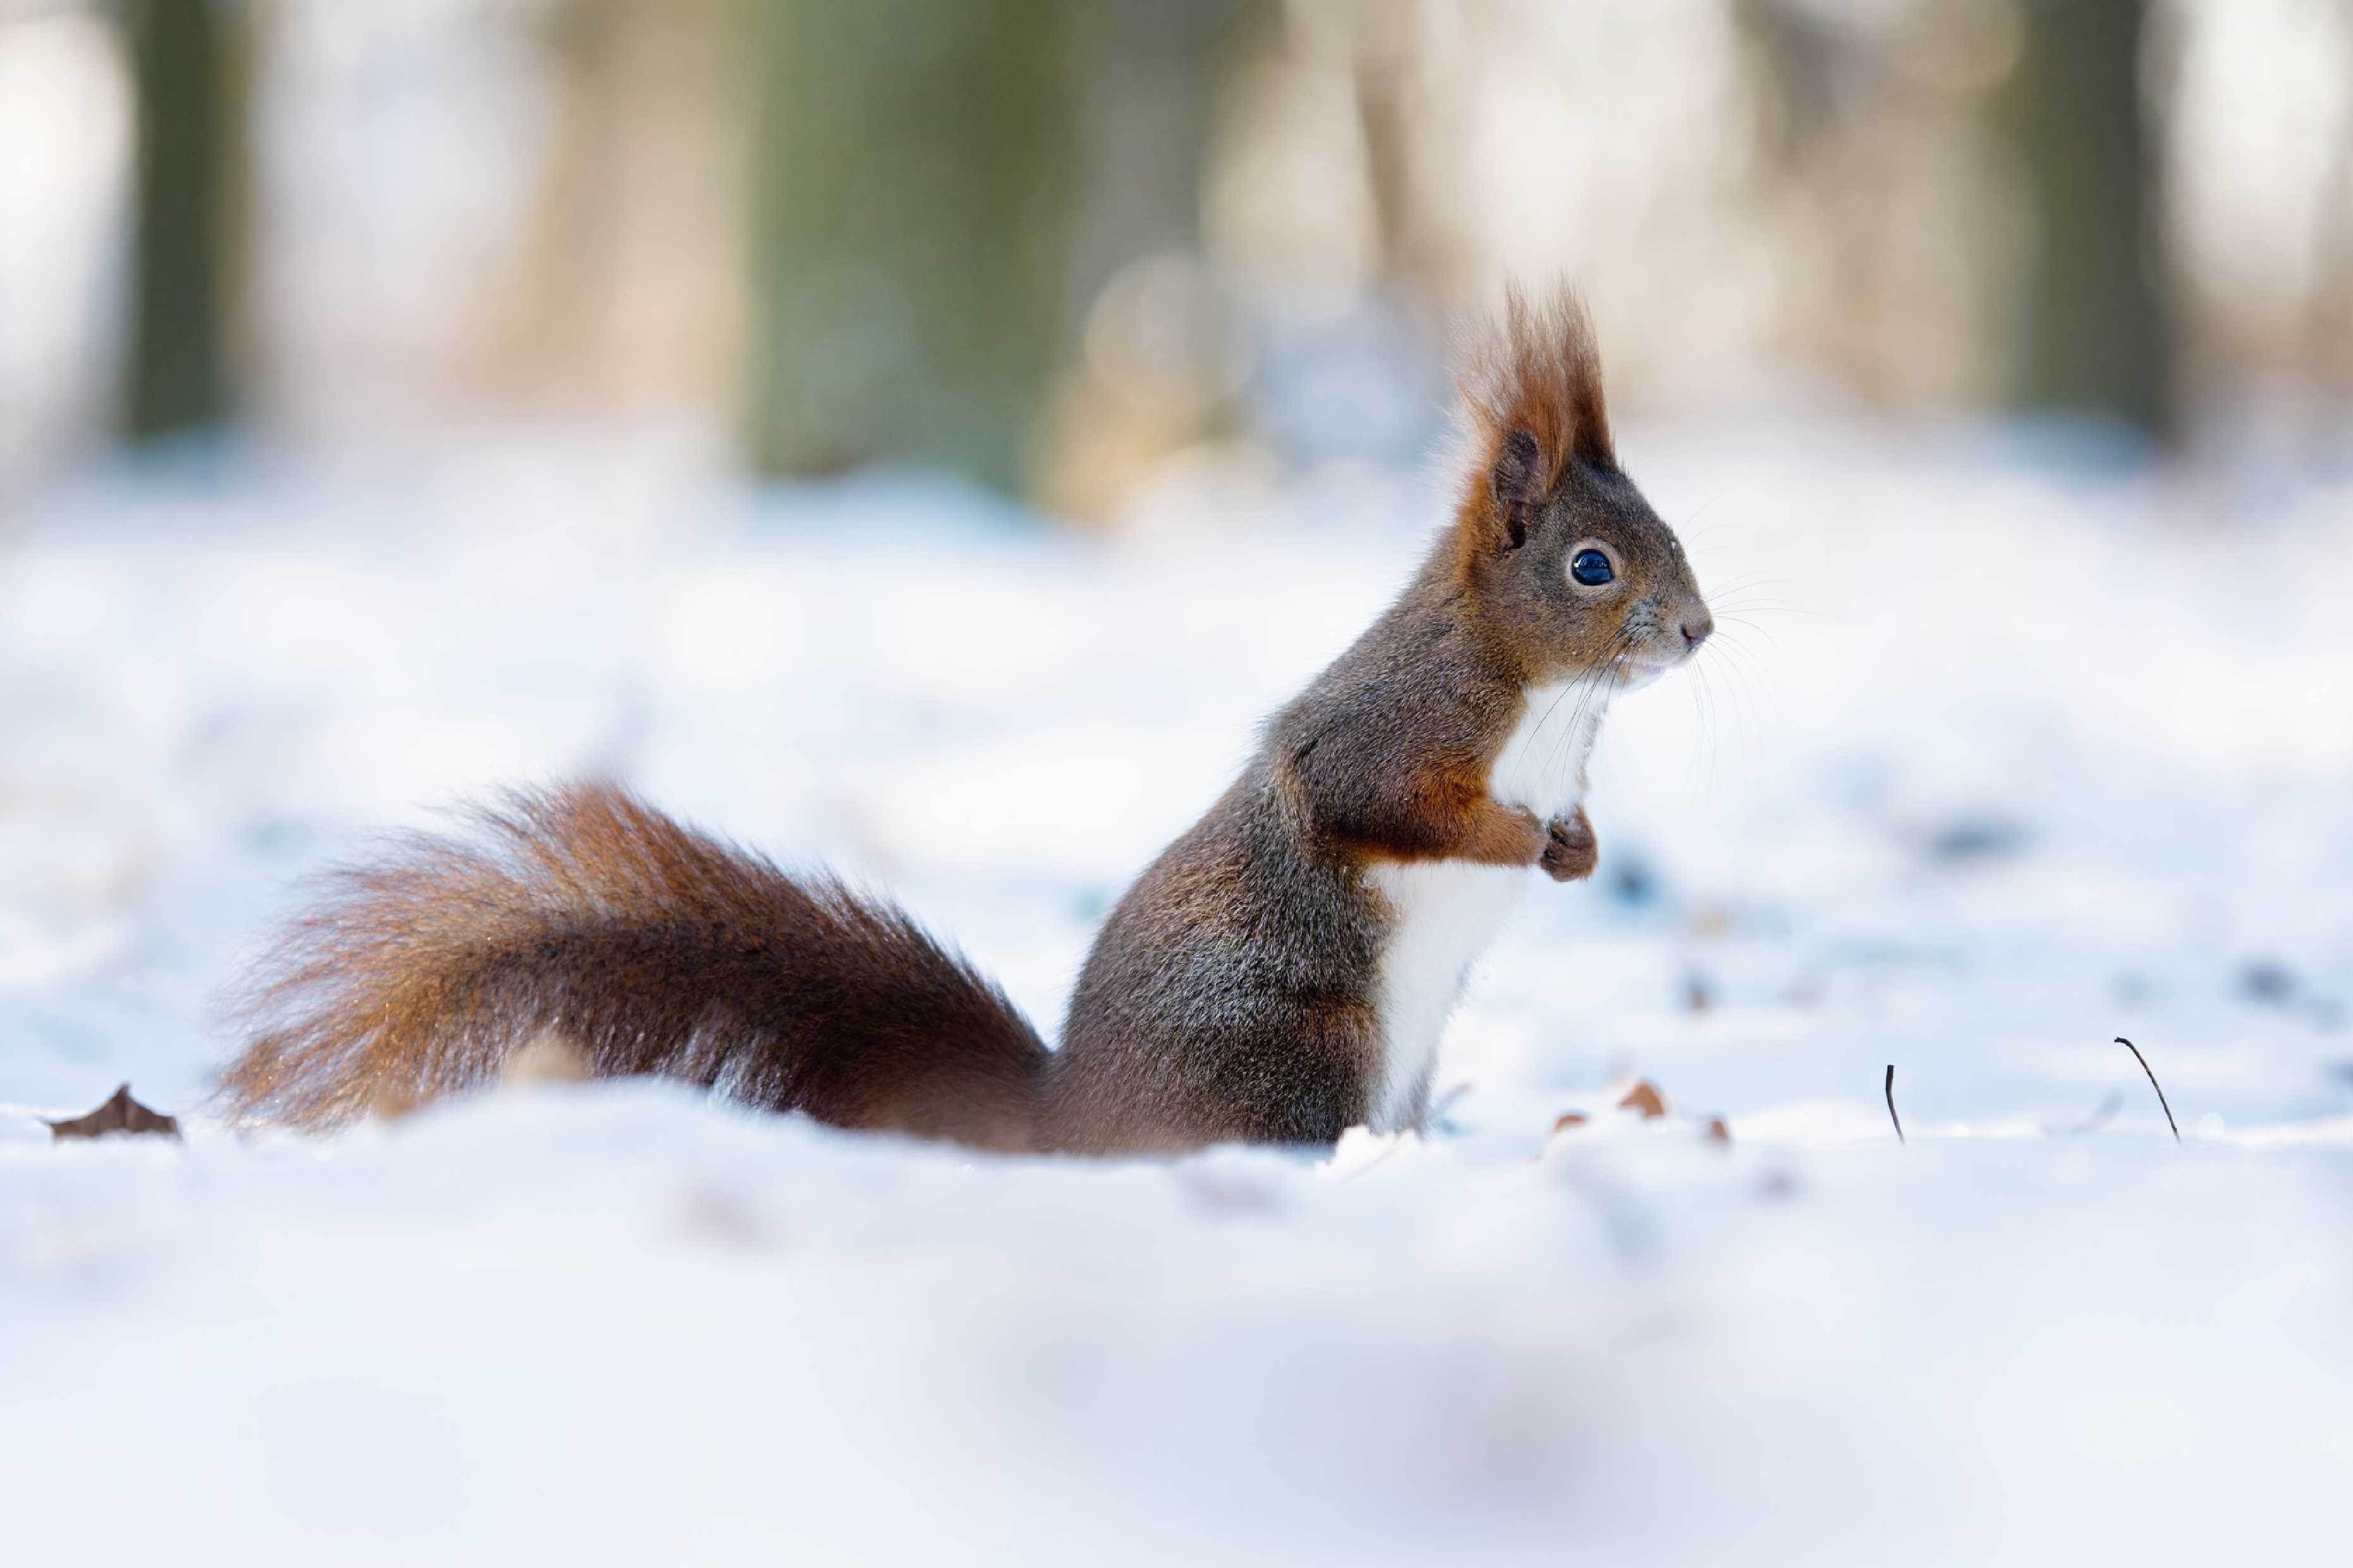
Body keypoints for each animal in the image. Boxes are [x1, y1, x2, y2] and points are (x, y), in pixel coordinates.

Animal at [224, 287, 1713, 1153]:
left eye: (1664, 531)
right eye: (1592, 566)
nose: (1700, 631)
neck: (1545, 701)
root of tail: (1069, 1127)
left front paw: (1577, 845)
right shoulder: (1390, 724)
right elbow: (1381, 800)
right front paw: (1517, 840)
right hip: (1302, 1045)